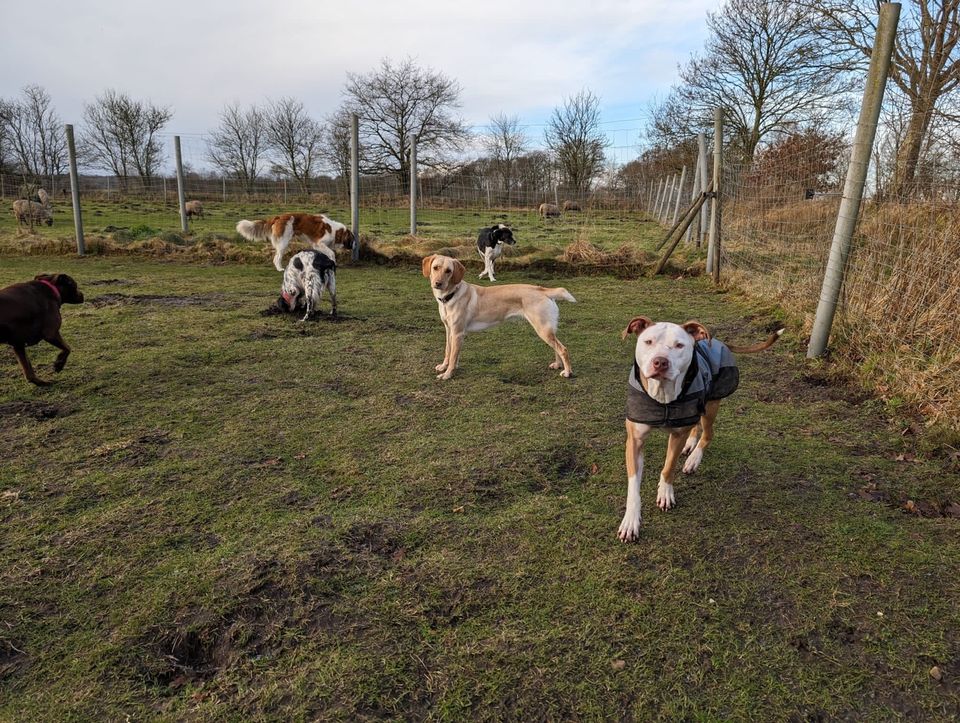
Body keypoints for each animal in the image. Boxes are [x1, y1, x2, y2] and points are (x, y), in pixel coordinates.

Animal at [424, 253, 572, 378]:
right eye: (435, 268)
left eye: (448, 271)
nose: (438, 283)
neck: (450, 295)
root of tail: (543, 290)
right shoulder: (449, 330)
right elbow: (448, 351)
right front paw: (444, 367)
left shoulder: (458, 333)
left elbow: (453, 356)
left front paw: (447, 374)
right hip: (548, 330)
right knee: (557, 347)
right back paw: (558, 365)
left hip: (542, 329)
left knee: (563, 349)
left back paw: (567, 372)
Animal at [620, 316, 784, 544]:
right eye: (648, 342)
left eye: (679, 345)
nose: (660, 362)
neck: (663, 398)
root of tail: (720, 342)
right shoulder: (635, 441)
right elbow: (634, 485)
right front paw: (631, 521)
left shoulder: (677, 435)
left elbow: (668, 467)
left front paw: (665, 492)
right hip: (699, 404)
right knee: (695, 426)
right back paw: (690, 445)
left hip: (710, 406)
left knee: (708, 433)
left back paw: (693, 459)